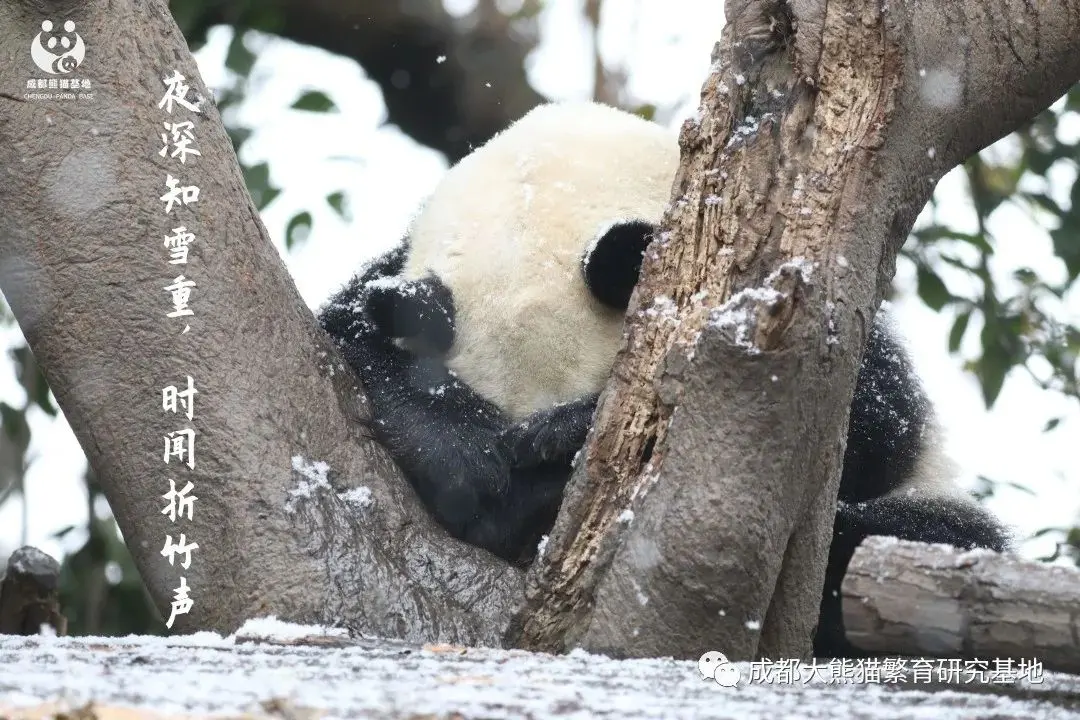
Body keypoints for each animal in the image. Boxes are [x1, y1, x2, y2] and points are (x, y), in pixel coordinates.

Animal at [315, 101, 1006, 660]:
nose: (506, 533)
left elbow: (868, 428)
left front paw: (560, 441)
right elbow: (350, 331)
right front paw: (458, 452)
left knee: (923, 541)